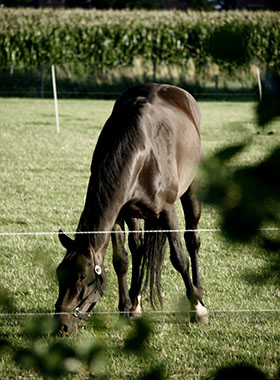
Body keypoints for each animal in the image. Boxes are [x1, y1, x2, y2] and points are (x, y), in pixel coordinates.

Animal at [55, 83, 208, 336]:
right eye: (59, 273)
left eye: (83, 276)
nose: (62, 326)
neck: (142, 151)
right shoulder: (119, 214)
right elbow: (122, 260)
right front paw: (126, 309)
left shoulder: (168, 211)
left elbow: (179, 258)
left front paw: (197, 308)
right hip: (134, 213)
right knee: (138, 248)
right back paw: (136, 303)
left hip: (192, 191)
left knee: (192, 240)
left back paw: (199, 293)